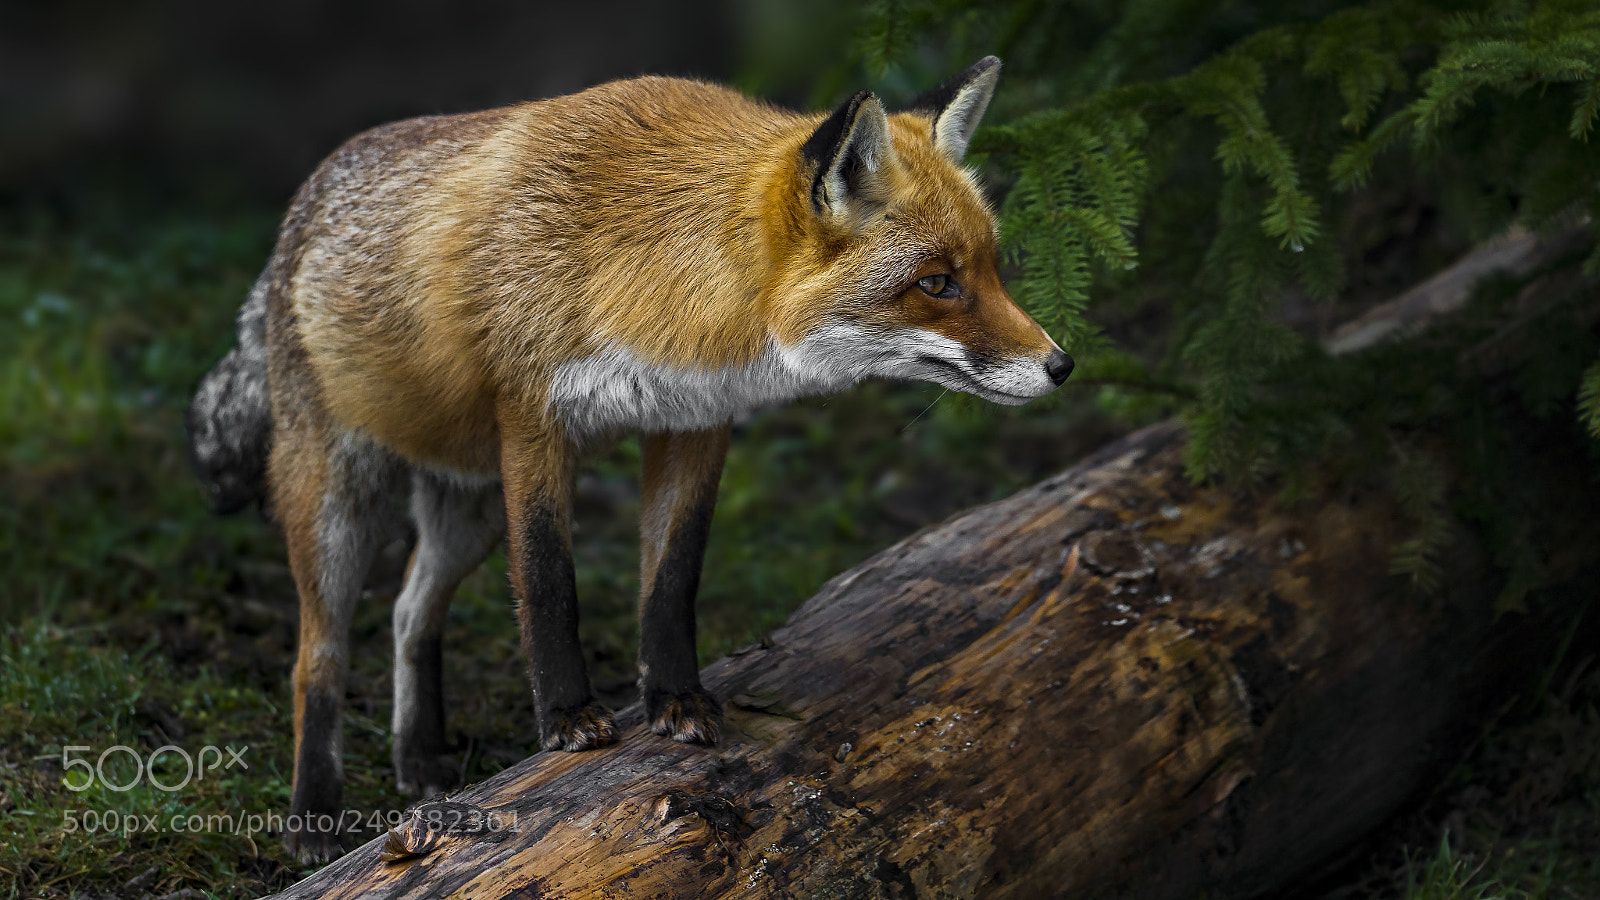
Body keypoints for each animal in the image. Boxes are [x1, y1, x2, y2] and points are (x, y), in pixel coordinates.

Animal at [185, 55, 1071, 862]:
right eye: (937, 283)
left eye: (991, 268)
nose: (1061, 365)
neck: (664, 278)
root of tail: (301, 207)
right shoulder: (534, 424)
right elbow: (550, 583)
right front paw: (567, 719)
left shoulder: (696, 424)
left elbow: (671, 581)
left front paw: (676, 699)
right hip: (339, 506)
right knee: (317, 658)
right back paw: (313, 816)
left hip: (468, 512)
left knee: (410, 614)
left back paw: (422, 761)